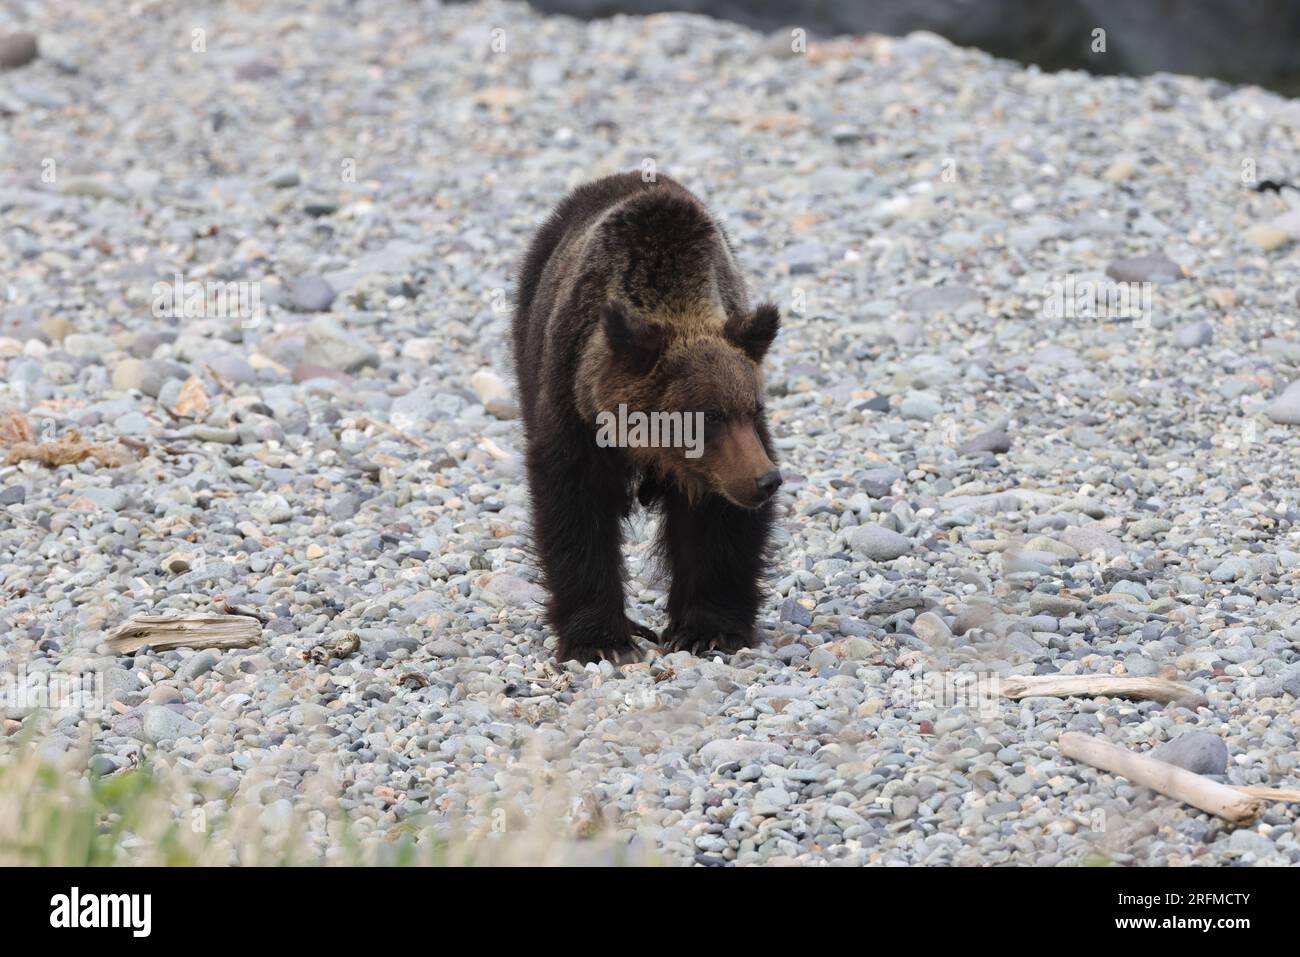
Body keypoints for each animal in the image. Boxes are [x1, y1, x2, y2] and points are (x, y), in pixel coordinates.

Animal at [511, 171, 782, 664]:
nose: (767, 480)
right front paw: (601, 639)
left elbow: (721, 527)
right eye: (709, 415)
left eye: (753, 408)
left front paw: (709, 629)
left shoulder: (723, 461)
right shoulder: (573, 411)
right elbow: (574, 509)